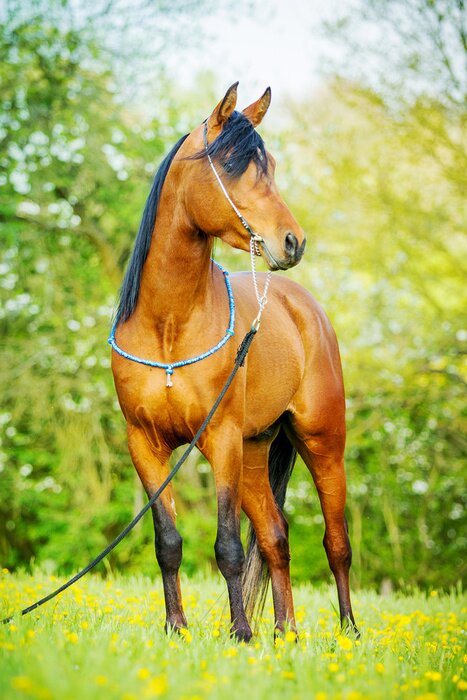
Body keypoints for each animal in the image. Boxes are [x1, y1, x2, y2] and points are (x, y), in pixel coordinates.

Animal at [110, 82, 357, 641]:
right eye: (230, 166)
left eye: (272, 166)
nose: (293, 241)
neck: (168, 327)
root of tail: (302, 304)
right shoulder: (145, 445)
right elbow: (168, 543)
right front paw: (176, 629)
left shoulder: (219, 438)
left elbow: (227, 546)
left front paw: (239, 633)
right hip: (254, 452)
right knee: (275, 537)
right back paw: (286, 634)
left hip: (322, 442)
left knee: (336, 543)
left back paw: (349, 632)